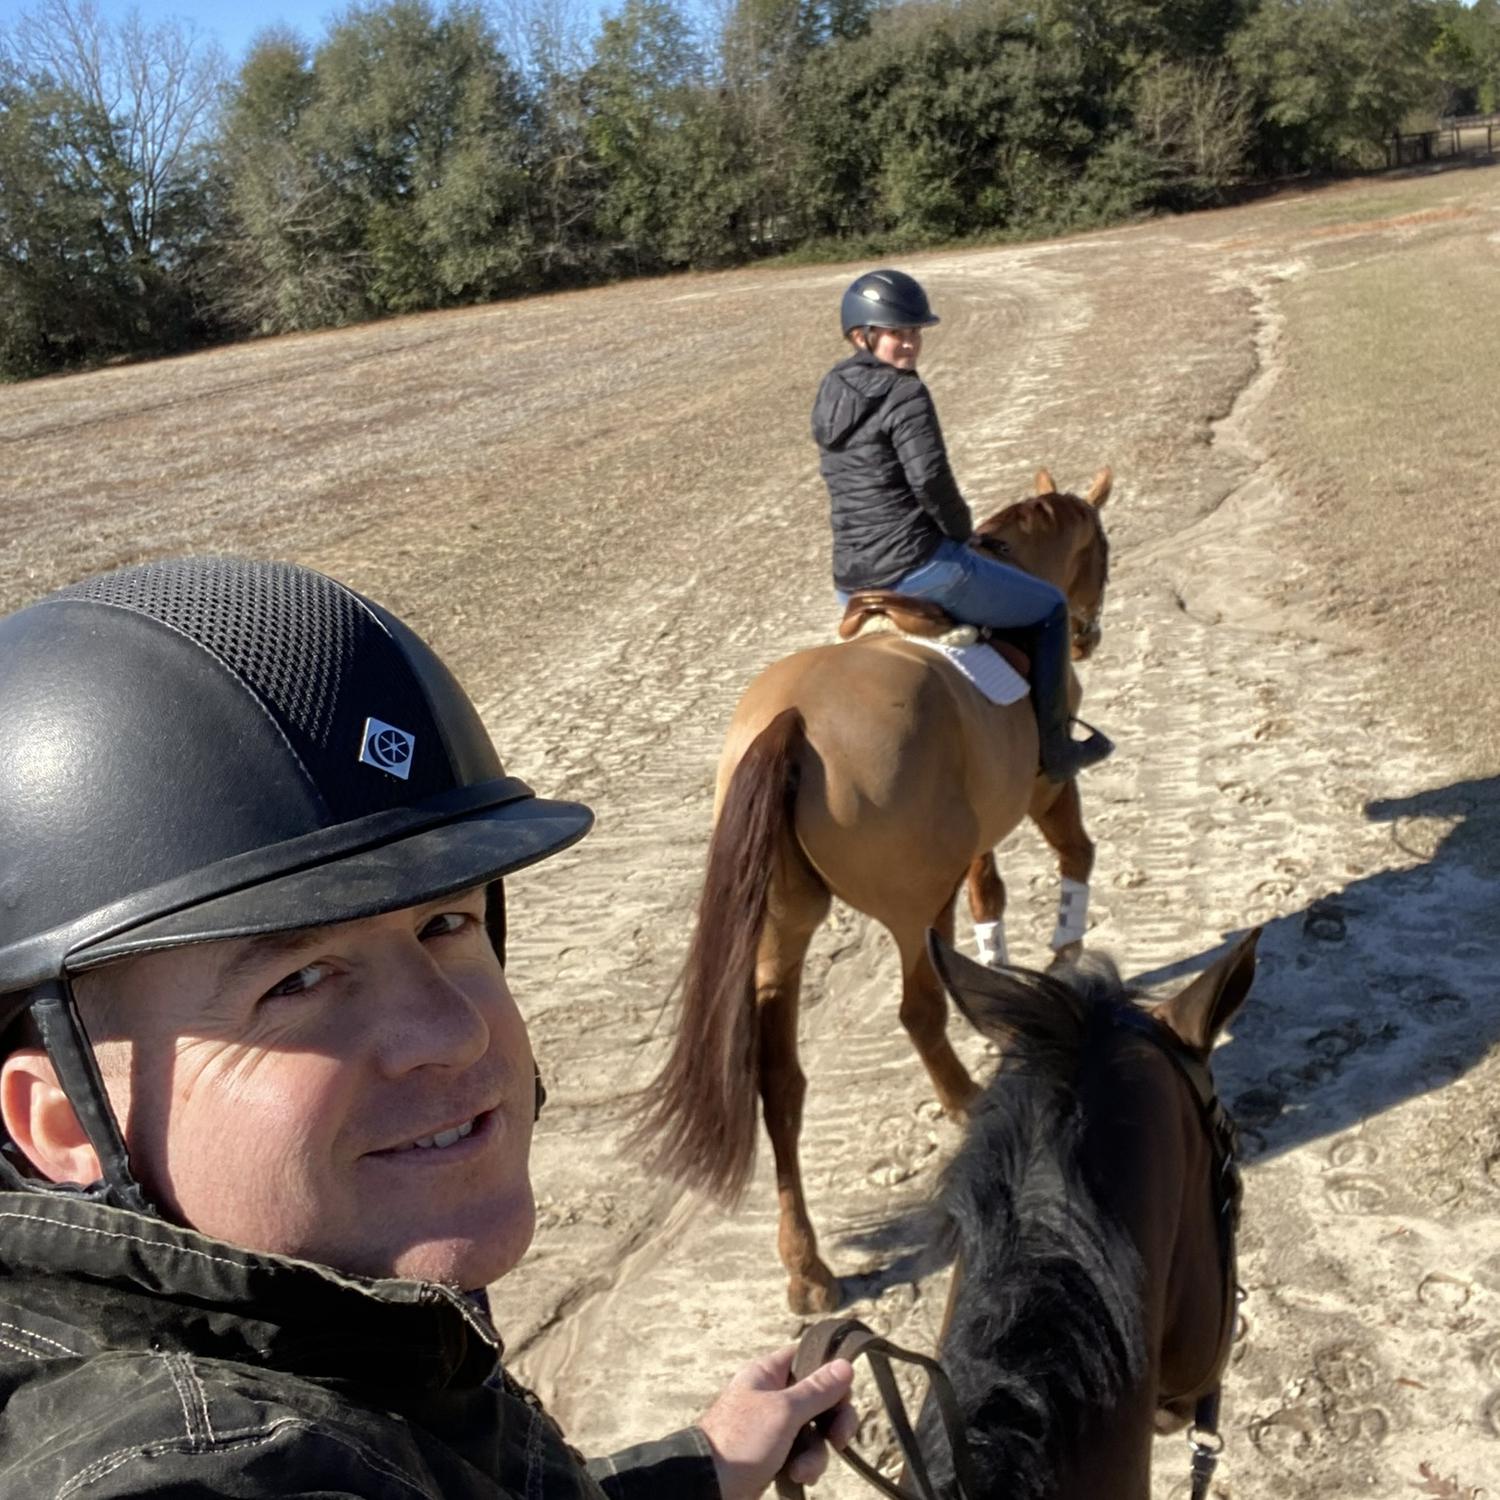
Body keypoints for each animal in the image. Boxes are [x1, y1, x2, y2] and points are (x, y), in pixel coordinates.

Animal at [633, 468, 1116, 1314]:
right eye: (1103, 553)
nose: (1087, 634)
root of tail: (791, 720)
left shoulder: (972, 839)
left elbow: (987, 894)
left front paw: (998, 974)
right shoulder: (1044, 790)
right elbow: (1074, 856)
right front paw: (1063, 952)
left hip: (782, 932)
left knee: (780, 1085)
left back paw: (807, 1270)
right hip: (908, 908)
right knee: (915, 1011)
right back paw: (965, 1100)